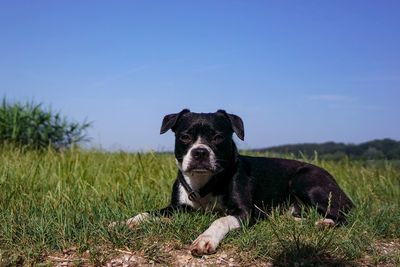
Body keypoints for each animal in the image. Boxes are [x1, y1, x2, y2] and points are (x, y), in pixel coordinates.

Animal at [124, 109, 354, 258]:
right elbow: (149, 213)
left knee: (343, 215)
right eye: (185, 137)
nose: (200, 152)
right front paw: (128, 221)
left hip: (305, 180)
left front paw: (205, 239)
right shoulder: (176, 207)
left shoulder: (243, 211)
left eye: (218, 137)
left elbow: (220, 220)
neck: (205, 182)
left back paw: (325, 223)